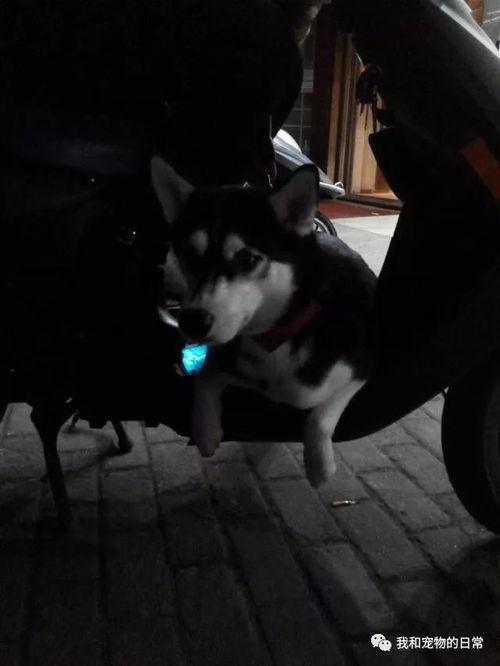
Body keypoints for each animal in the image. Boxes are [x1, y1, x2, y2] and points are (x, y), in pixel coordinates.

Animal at [152, 157, 377, 486]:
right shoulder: (229, 360)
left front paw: (319, 464)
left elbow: (321, 415)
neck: (277, 335)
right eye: (188, 254)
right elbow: (205, 377)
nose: (192, 323)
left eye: (246, 259)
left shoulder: (361, 369)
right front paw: (206, 431)